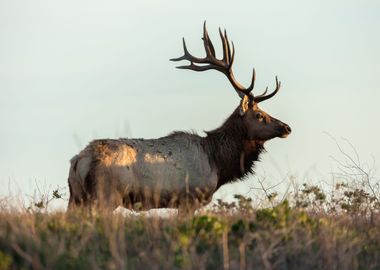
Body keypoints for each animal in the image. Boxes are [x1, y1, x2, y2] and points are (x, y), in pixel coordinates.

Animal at [67, 22, 290, 213]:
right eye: (260, 115)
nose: (287, 127)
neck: (218, 163)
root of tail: (79, 160)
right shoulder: (189, 199)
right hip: (106, 196)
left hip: (76, 197)